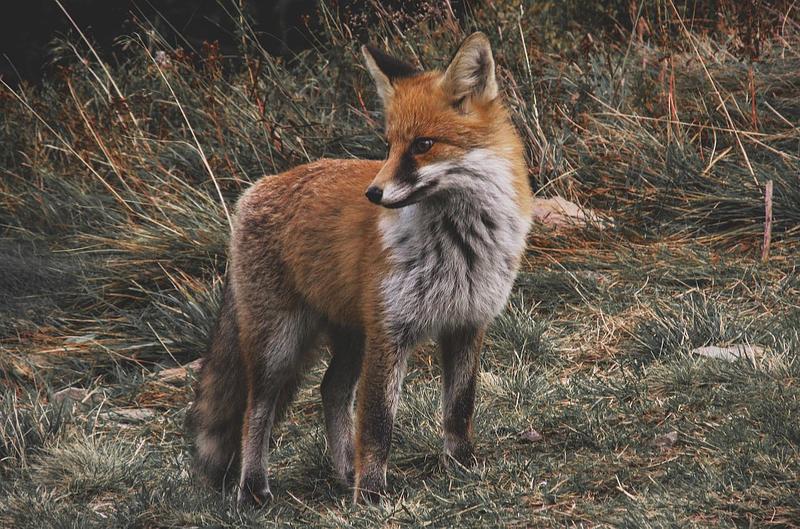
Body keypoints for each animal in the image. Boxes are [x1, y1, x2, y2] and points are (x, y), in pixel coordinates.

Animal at [191, 32, 536, 504]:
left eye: (423, 145)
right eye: (389, 145)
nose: (373, 193)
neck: (458, 245)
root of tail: (253, 190)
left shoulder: (467, 322)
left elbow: (459, 408)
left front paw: (462, 466)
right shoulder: (390, 332)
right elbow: (376, 423)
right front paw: (371, 495)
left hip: (351, 336)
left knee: (331, 390)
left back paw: (343, 472)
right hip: (278, 344)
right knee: (255, 410)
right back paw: (254, 488)